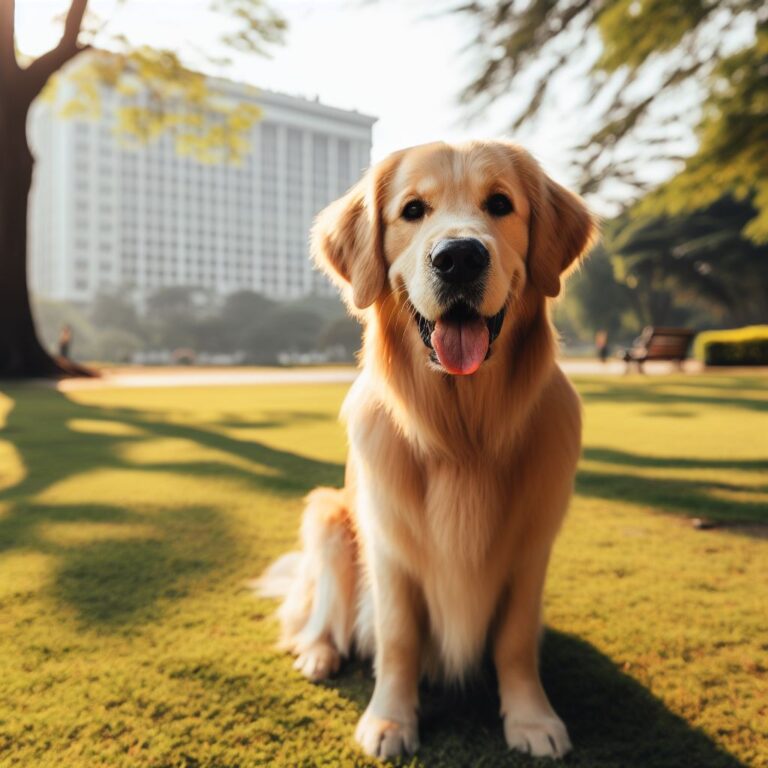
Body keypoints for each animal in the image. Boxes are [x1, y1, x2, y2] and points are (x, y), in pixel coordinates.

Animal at [260, 141, 596, 760]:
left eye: (500, 204)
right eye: (413, 210)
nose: (458, 257)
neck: (462, 436)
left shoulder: (532, 549)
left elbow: (515, 642)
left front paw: (531, 718)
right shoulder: (389, 549)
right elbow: (398, 640)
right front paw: (390, 721)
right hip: (327, 515)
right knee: (319, 615)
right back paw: (318, 653)